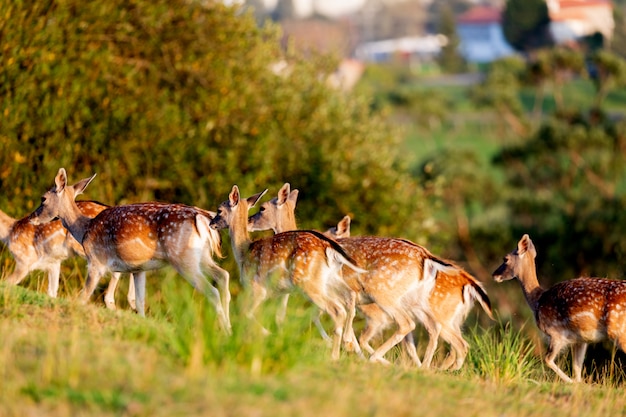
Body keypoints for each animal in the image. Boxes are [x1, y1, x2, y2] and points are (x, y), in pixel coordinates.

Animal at [0, 202, 135, 308]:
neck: (9, 234)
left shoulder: (25, 260)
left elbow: (7, 282)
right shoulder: (53, 263)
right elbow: (52, 292)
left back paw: (116, 302)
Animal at [29, 167, 229, 328]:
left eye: (43, 199)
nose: (31, 218)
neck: (85, 229)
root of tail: (202, 217)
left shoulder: (96, 262)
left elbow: (83, 296)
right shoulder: (138, 269)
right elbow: (139, 303)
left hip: (183, 258)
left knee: (212, 291)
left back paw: (224, 331)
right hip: (202, 257)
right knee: (223, 275)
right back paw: (230, 329)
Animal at [210, 184, 366, 360]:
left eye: (219, 210)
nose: (211, 223)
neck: (244, 252)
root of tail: (328, 247)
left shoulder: (258, 288)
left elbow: (246, 313)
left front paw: (266, 334)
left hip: (307, 281)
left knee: (337, 310)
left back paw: (334, 355)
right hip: (330, 280)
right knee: (349, 298)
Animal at [246, 182, 490, 368]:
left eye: (263, 208)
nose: (247, 221)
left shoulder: (347, 291)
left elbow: (338, 316)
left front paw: (345, 348)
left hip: (400, 298)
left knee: (428, 332)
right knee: (435, 336)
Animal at [492, 232, 626, 382]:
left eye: (505, 259)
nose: (494, 275)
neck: (538, 300)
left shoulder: (556, 333)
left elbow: (547, 360)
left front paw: (570, 382)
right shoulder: (581, 339)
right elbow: (577, 371)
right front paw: (578, 383)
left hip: (618, 330)